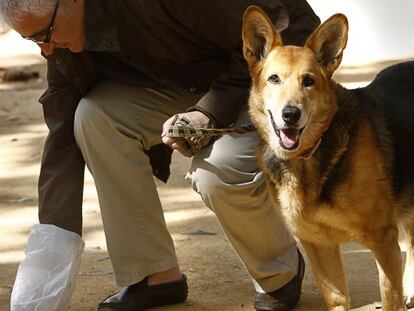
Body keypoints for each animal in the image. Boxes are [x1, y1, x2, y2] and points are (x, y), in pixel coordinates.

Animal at [241, 5, 414, 311]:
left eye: (308, 81)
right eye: (274, 79)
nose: (290, 114)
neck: (309, 157)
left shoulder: (383, 239)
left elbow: (389, 297)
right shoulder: (317, 244)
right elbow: (336, 298)